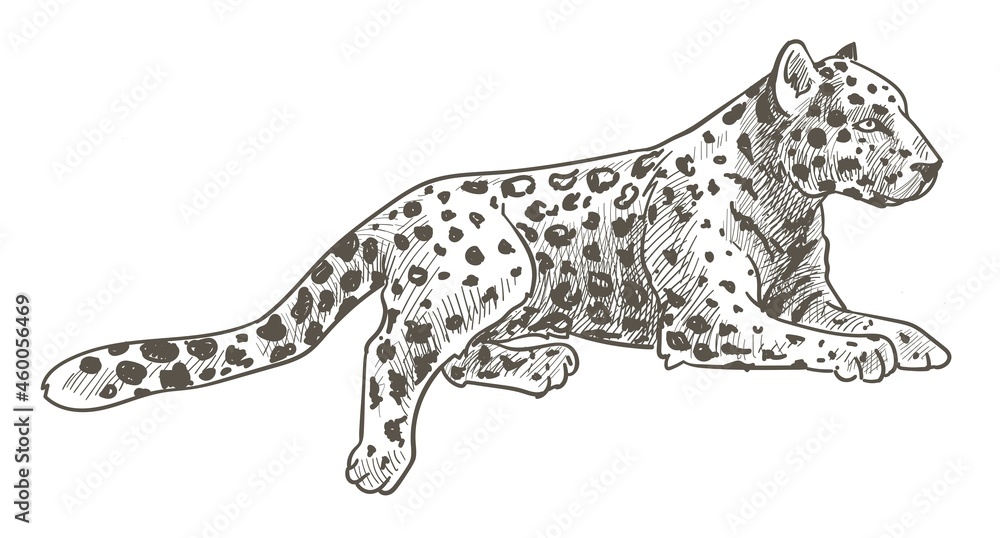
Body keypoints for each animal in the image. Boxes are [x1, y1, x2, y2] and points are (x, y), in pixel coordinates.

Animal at [43, 40, 949, 495]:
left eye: (904, 110)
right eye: (871, 119)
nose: (935, 165)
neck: (790, 198)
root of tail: (398, 207)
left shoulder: (805, 290)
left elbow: (850, 315)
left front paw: (914, 340)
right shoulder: (712, 316)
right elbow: (803, 338)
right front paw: (866, 354)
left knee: (455, 355)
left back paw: (542, 361)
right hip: (493, 267)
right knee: (393, 349)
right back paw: (380, 460)